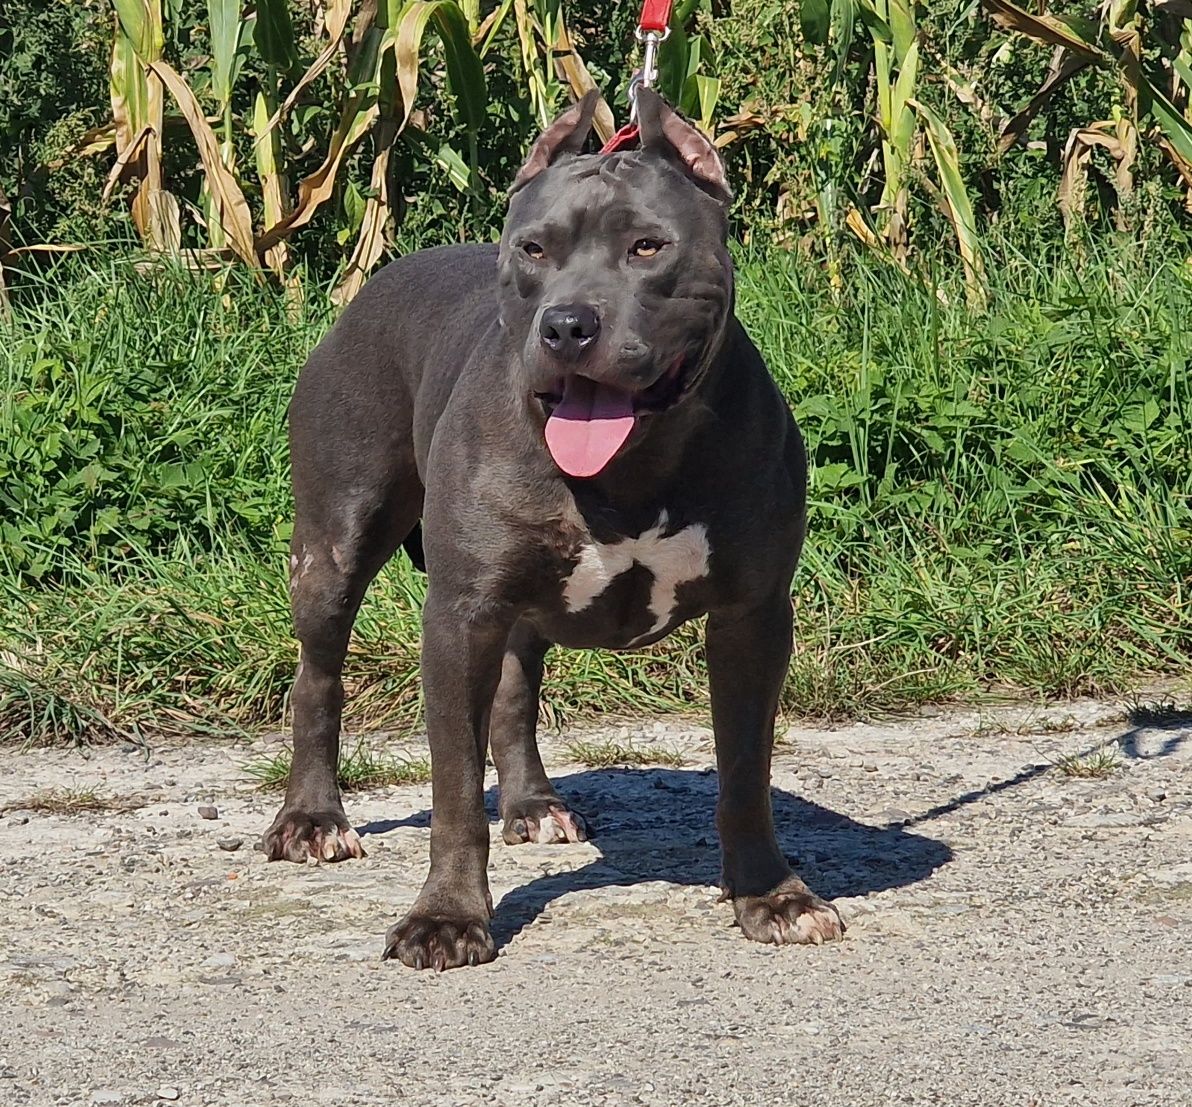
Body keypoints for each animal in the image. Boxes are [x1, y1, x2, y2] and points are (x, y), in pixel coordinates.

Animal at [265, 86, 843, 967]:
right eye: (534, 249)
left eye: (647, 246)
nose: (568, 325)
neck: (633, 463)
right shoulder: (458, 614)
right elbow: (453, 787)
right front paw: (447, 916)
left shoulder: (754, 617)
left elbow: (746, 771)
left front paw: (770, 894)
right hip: (335, 545)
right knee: (319, 675)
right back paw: (312, 818)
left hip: (525, 599)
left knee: (515, 686)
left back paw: (532, 803)